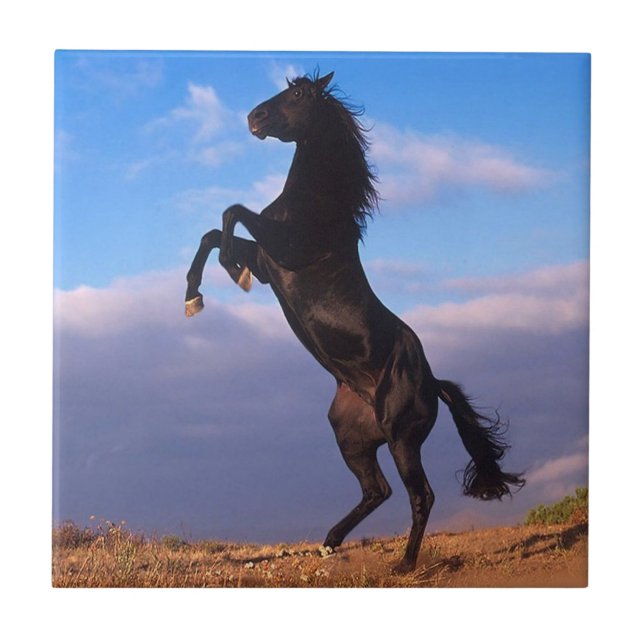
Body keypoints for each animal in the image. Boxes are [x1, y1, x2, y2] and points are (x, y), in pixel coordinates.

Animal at [184, 71, 524, 572]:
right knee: (376, 490)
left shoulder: (283, 250)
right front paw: (193, 297)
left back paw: (403, 565)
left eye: (299, 94)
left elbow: (231, 214)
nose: (253, 117)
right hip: (352, 437)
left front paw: (231, 271)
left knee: (420, 495)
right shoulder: (269, 263)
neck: (316, 204)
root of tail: (433, 383)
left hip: (402, 439)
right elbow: (212, 232)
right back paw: (329, 542)